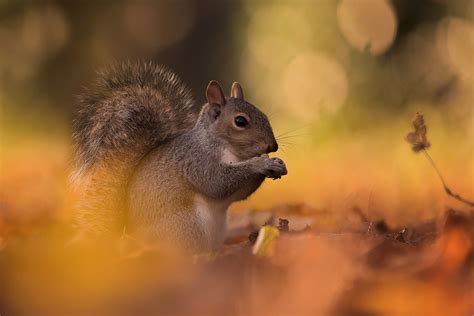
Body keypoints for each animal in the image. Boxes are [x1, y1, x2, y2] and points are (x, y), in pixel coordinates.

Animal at [70, 61, 286, 252]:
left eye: (264, 115)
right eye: (240, 121)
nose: (272, 146)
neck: (230, 149)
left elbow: (238, 193)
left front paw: (277, 163)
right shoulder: (197, 160)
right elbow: (217, 182)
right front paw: (261, 163)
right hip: (187, 226)